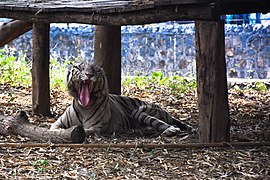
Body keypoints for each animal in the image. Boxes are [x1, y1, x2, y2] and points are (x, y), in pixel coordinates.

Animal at [50, 62, 194, 137]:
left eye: (95, 70)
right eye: (80, 68)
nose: (89, 74)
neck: (83, 107)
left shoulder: (96, 127)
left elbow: (84, 130)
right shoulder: (57, 123)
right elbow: (54, 128)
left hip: (140, 112)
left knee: (161, 123)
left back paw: (171, 130)